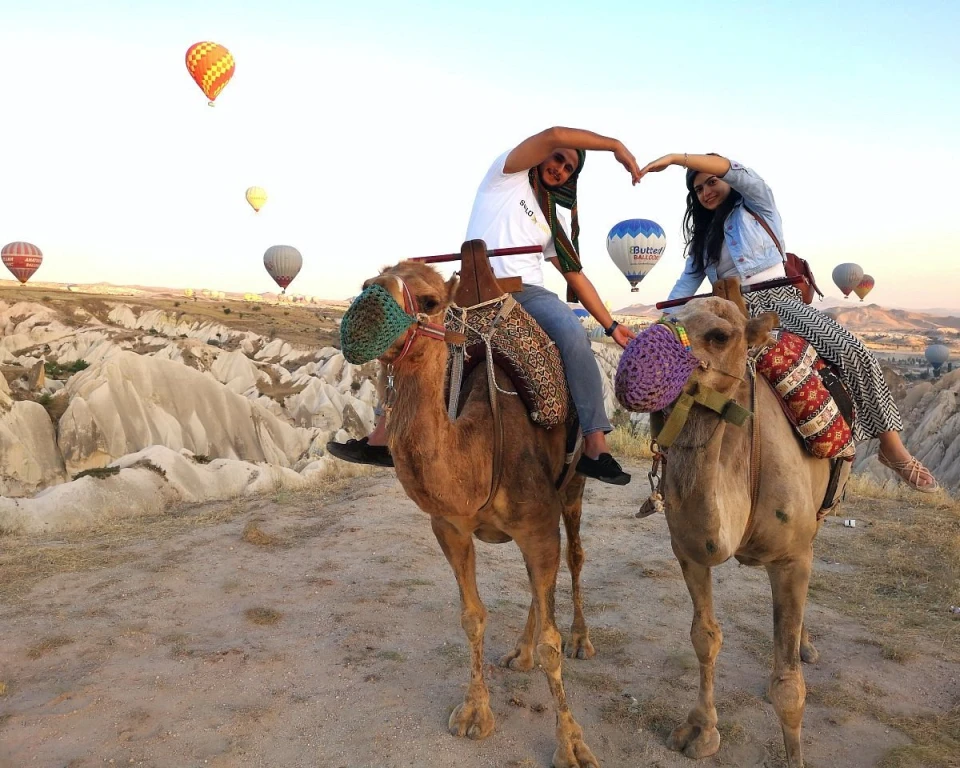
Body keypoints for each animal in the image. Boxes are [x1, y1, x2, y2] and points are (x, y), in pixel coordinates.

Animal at [345, 254, 599, 768]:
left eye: (430, 301)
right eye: (366, 281)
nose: (365, 311)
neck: (480, 447)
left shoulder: (538, 525)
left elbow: (552, 642)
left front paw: (572, 743)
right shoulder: (450, 528)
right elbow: (472, 617)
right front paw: (474, 713)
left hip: (573, 486)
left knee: (575, 558)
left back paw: (581, 640)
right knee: (542, 586)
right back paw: (519, 653)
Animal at [654, 296, 848, 768]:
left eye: (719, 336)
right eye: (667, 317)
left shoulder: (791, 558)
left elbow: (788, 687)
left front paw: (795, 759)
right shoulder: (688, 550)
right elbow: (704, 638)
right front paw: (702, 732)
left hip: (817, 519)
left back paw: (803, 646)